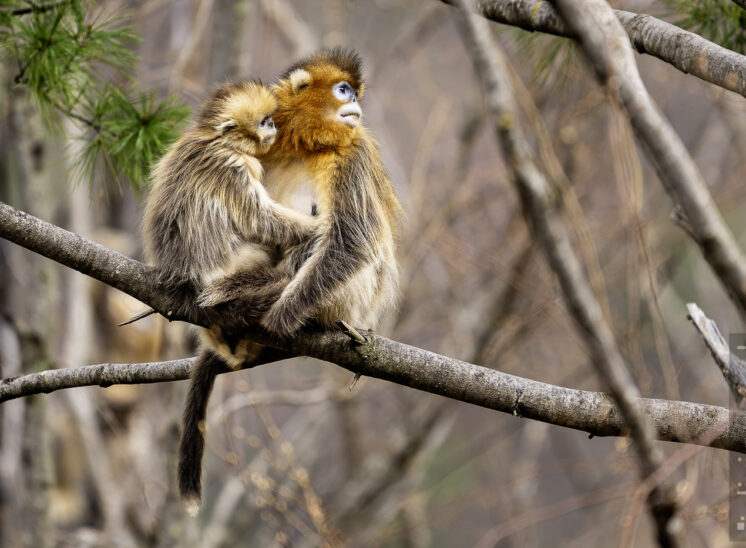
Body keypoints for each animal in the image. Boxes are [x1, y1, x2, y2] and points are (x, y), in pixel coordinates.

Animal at [178, 48, 401, 513]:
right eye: (344, 90)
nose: (357, 104)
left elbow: (353, 241)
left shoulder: (352, 155)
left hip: (348, 300)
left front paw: (281, 315)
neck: (308, 144)